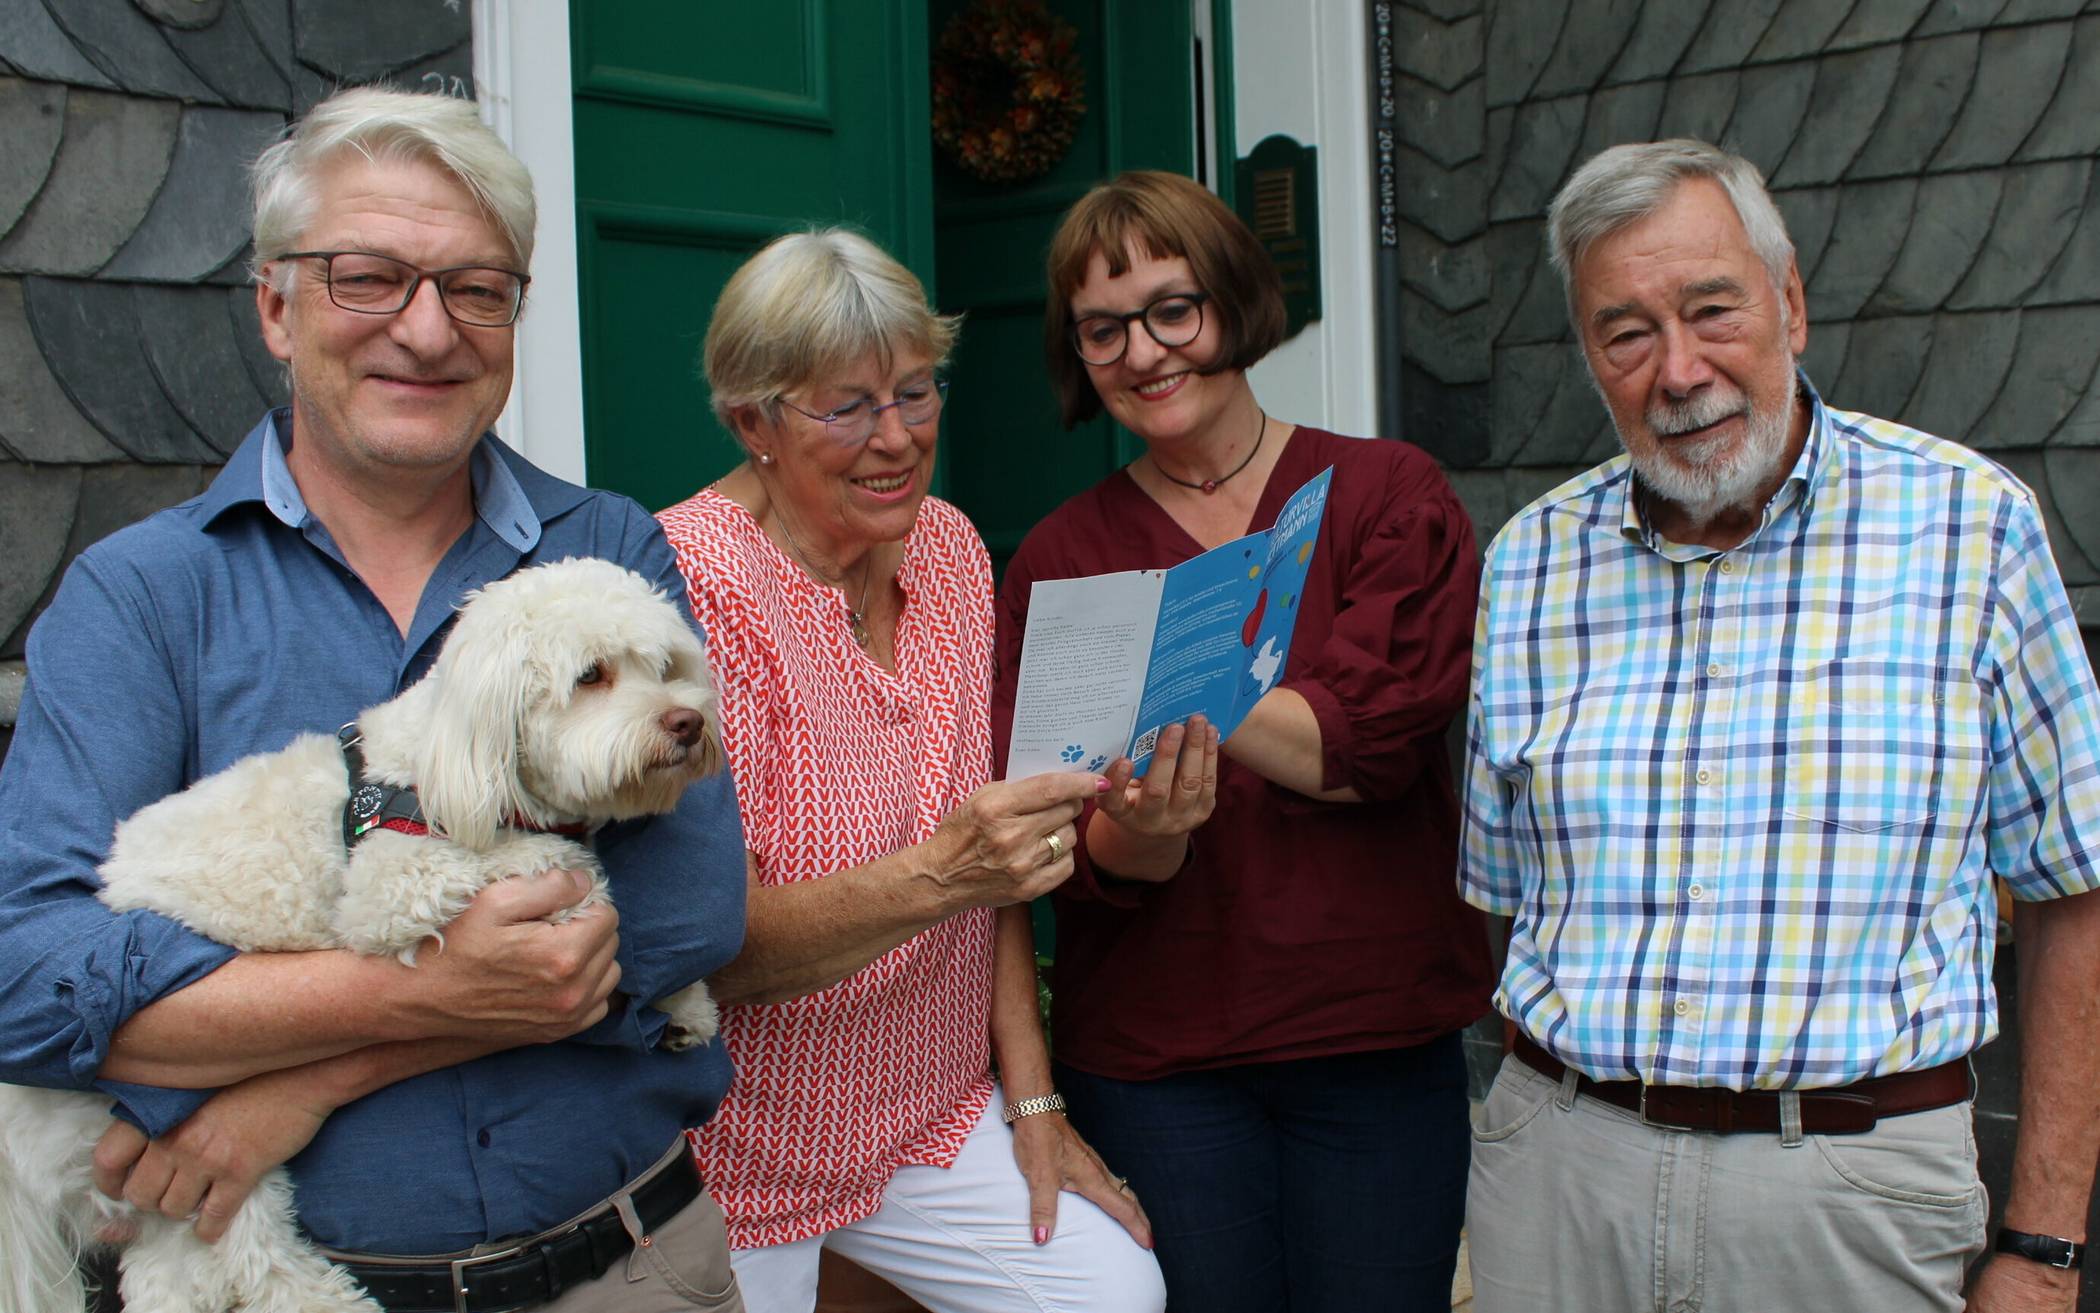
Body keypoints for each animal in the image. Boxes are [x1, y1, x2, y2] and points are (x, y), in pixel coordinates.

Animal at [0, 554, 730, 1310]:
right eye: (591, 676)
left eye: (665, 665)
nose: (686, 721)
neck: (442, 763)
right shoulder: (397, 882)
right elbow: (564, 868)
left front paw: (683, 1006)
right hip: (189, 1149)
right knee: (256, 1260)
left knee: (168, 1276)